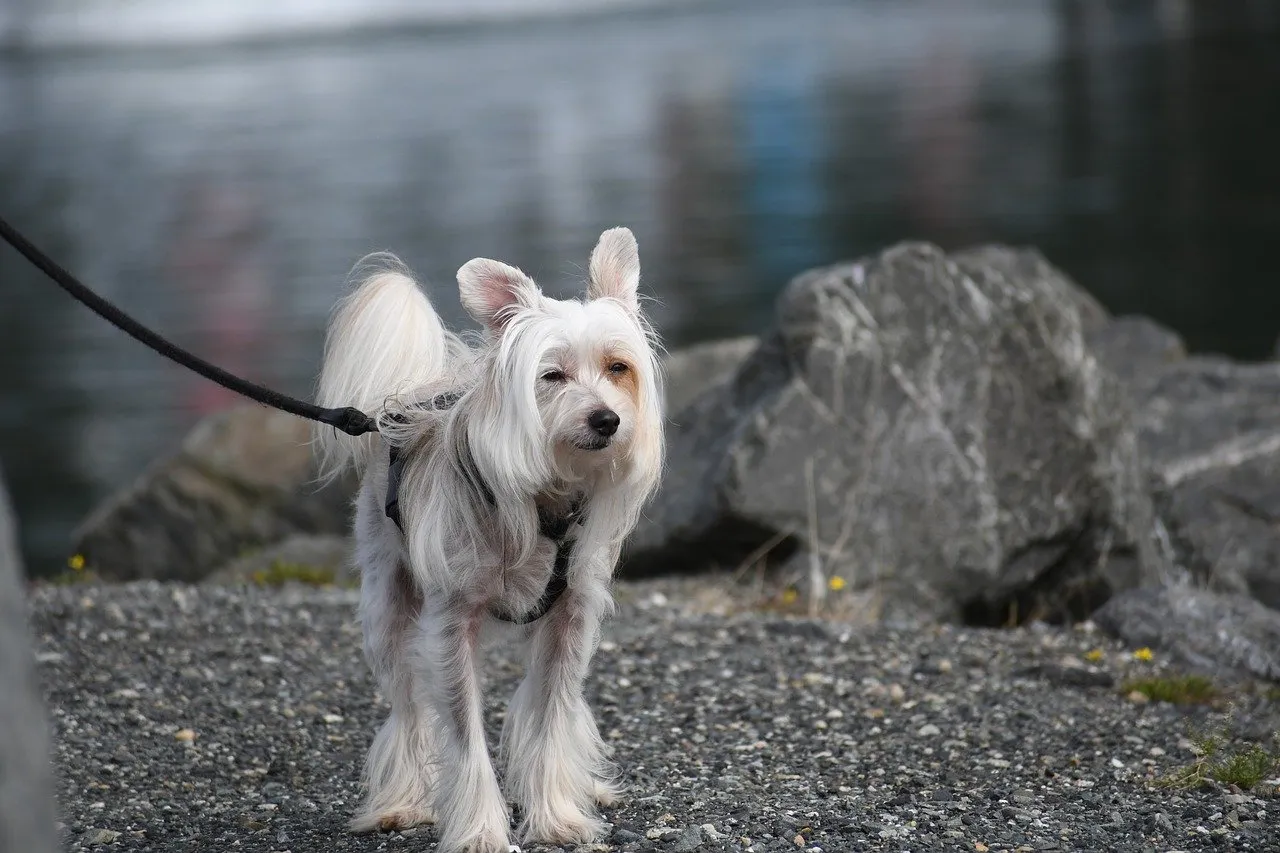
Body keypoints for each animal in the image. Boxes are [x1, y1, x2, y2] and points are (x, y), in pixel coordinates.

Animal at [313, 225, 665, 850]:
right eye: (551, 377)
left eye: (618, 367)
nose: (606, 420)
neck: (547, 502)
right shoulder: (450, 626)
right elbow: (464, 738)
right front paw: (481, 830)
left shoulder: (571, 619)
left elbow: (551, 718)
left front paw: (557, 815)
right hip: (387, 605)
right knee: (408, 709)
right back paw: (403, 801)